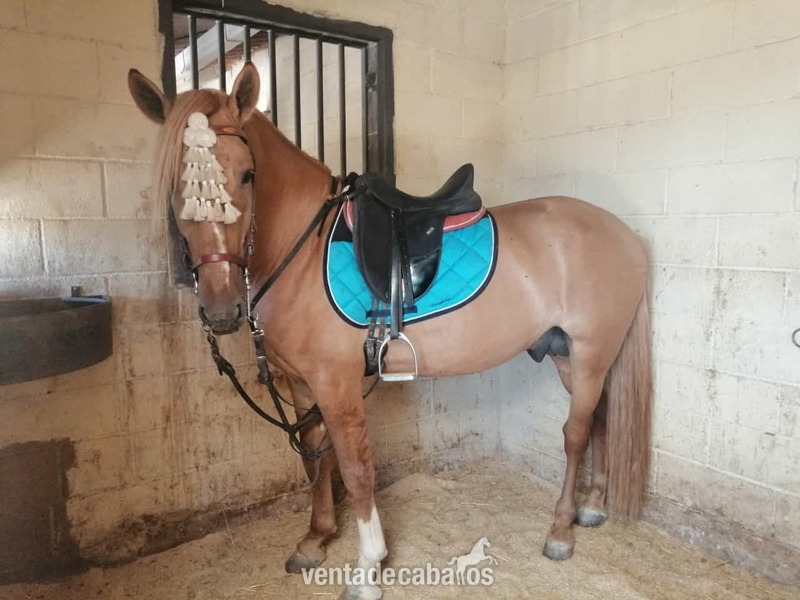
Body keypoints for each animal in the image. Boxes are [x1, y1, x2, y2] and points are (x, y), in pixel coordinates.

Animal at [128, 63, 652, 600]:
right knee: (601, 418)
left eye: (247, 174)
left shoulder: (336, 386)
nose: (221, 307)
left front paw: (367, 569)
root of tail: (624, 234)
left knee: (575, 434)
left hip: (588, 354)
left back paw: (561, 530)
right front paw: (315, 540)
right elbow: (315, 460)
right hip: (574, 358)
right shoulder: (302, 385)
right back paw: (593, 507)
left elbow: (355, 469)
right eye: (172, 183)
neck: (304, 251)